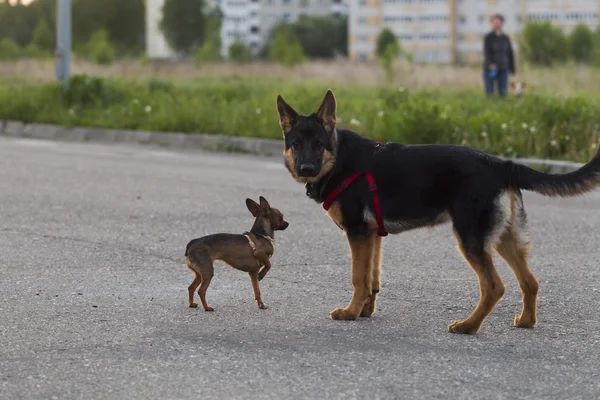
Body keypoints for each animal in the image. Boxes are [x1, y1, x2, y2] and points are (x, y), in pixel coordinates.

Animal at [276, 90, 600, 334]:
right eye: (297, 144)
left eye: (319, 144)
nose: (306, 169)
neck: (338, 159)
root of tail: (500, 164)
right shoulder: (372, 237)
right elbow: (372, 278)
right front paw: (364, 310)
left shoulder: (357, 233)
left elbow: (358, 277)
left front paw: (350, 312)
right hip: (503, 238)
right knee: (530, 281)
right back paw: (526, 321)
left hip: (471, 239)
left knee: (494, 286)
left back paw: (469, 326)